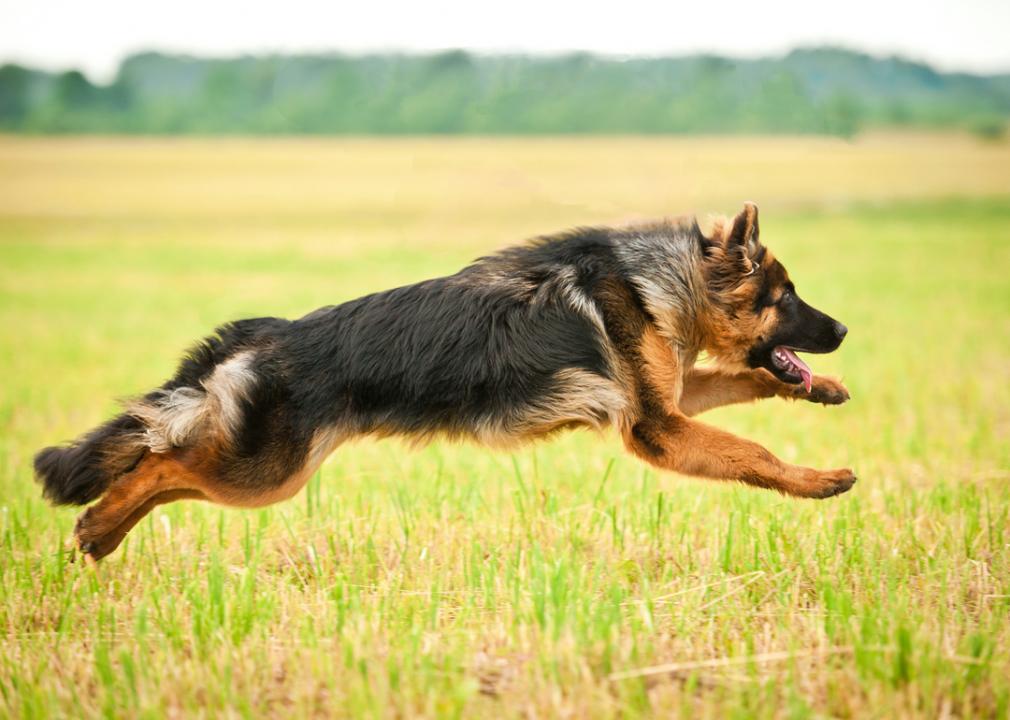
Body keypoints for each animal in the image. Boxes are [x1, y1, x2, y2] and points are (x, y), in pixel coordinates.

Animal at [33, 201, 852, 561]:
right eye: (787, 298)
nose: (843, 332)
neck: (665, 280)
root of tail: (268, 331)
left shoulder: (671, 401)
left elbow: (743, 380)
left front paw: (820, 392)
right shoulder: (660, 429)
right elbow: (753, 455)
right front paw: (819, 481)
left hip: (258, 469)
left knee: (159, 463)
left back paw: (101, 533)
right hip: (264, 474)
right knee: (161, 462)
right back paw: (98, 529)